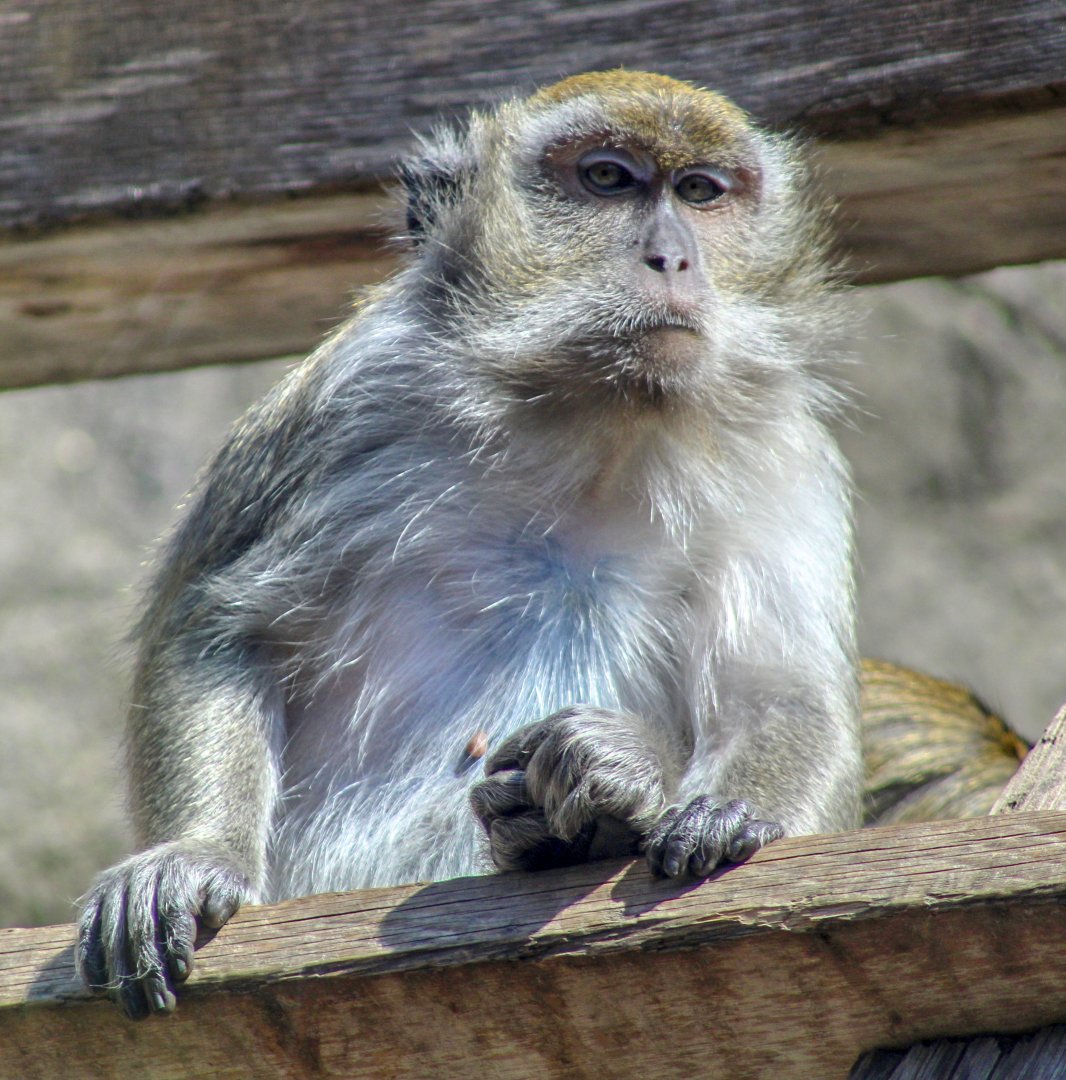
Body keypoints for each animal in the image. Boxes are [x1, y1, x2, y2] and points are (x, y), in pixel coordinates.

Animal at [77, 70, 863, 1019]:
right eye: (608, 179)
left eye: (702, 192)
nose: (673, 259)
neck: (596, 419)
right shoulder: (351, 401)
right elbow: (223, 628)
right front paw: (196, 856)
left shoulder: (783, 455)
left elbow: (781, 694)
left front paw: (668, 788)